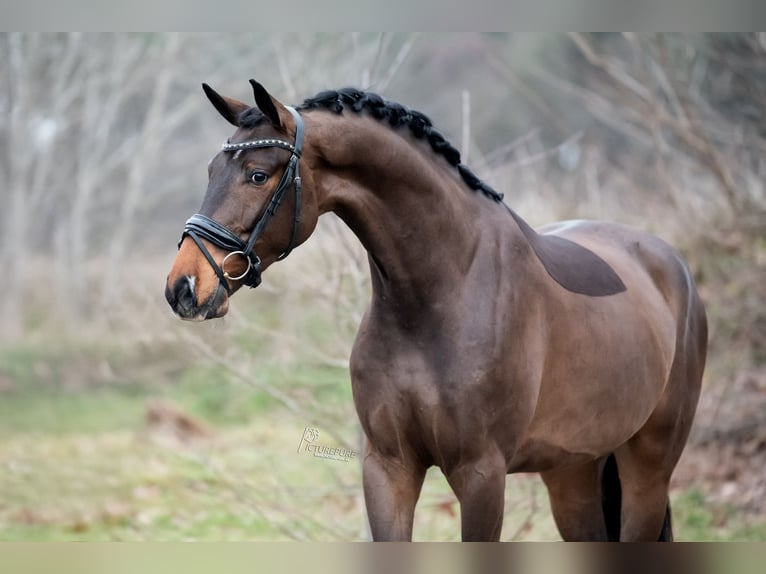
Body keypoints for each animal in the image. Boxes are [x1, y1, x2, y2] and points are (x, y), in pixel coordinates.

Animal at [165, 80, 707, 541]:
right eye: (211, 172)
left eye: (257, 175)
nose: (183, 288)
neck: (438, 296)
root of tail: (673, 263)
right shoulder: (389, 467)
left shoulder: (482, 474)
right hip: (573, 470)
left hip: (648, 467)